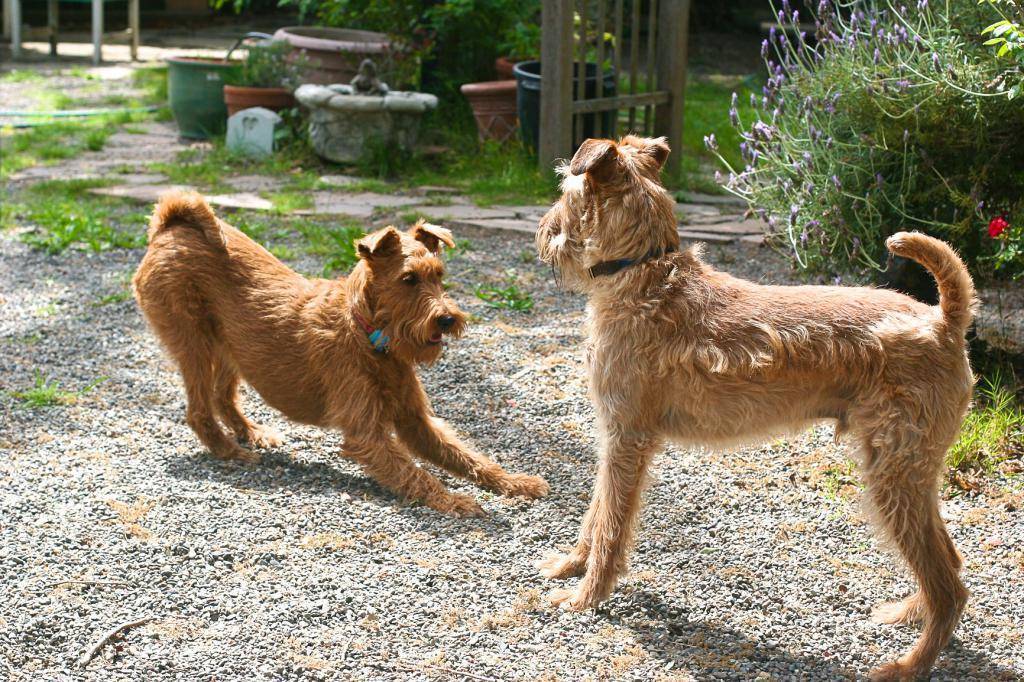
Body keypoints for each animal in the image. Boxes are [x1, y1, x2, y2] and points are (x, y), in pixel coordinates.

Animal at [137, 188, 552, 512]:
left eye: (439, 275)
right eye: (408, 279)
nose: (447, 319)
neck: (371, 339)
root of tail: (170, 227)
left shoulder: (416, 422)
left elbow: (468, 456)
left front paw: (515, 482)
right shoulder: (366, 434)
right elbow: (414, 472)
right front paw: (453, 501)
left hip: (230, 347)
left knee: (223, 397)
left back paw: (251, 433)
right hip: (195, 345)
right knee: (198, 409)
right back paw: (228, 450)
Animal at [536, 135, 974, 675]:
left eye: (567, 193)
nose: (544, 231)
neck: (642, 273)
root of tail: (944, 322)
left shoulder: (626, 439)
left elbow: (611, 527)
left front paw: (585, 596)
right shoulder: (614, 437)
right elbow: (595, 515)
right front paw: (570, 565)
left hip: (893, 473)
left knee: (949, 587)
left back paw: (908, 666)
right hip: (912, 473)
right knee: (949, 562)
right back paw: (908, 612)